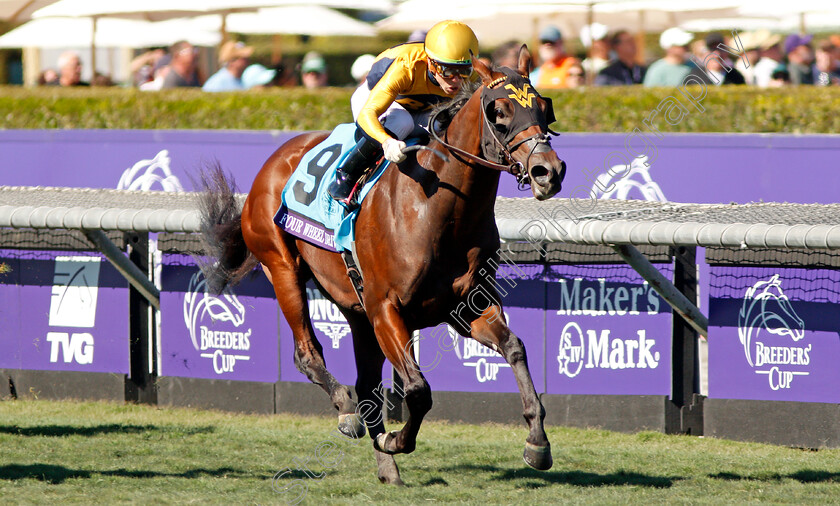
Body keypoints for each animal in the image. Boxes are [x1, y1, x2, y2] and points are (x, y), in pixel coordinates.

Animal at [197, 48, 564, 486]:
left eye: (544, 108)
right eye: (500, 113)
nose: (548, 171)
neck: (437, 206)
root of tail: (271, 163)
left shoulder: (466, 306)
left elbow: (515, 348)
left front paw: (537, 443)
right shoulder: (388, 309)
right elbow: (418, 390)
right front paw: (395, 440)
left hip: (357, 310)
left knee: (368, 384)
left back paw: (387, 469)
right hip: (283, 268)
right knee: (308, 354)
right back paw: (347, 414)